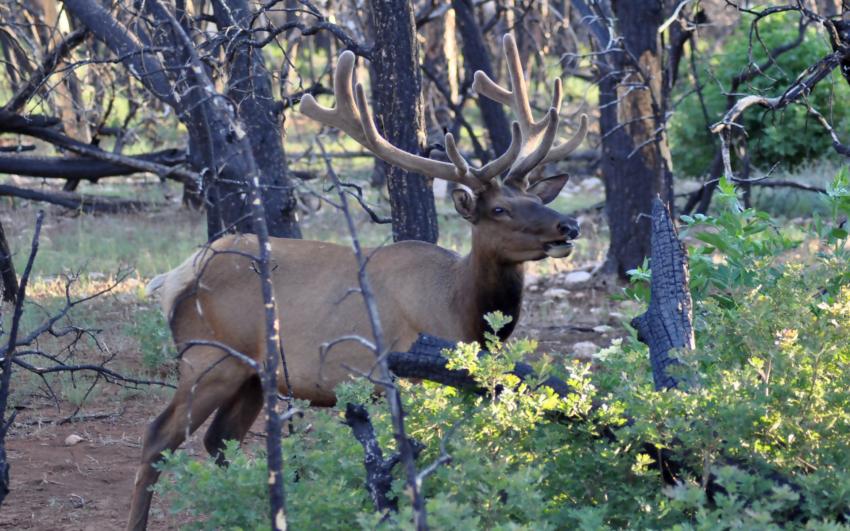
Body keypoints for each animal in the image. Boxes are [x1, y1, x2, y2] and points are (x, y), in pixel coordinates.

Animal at [129, 34, 588, 531]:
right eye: (499, 209)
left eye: (534, 198)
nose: (569, 225)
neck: (460, 307)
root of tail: (176, 277)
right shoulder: (407, 374)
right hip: (208, 358)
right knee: (158, 437)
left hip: (252, 373)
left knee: (219, 439)